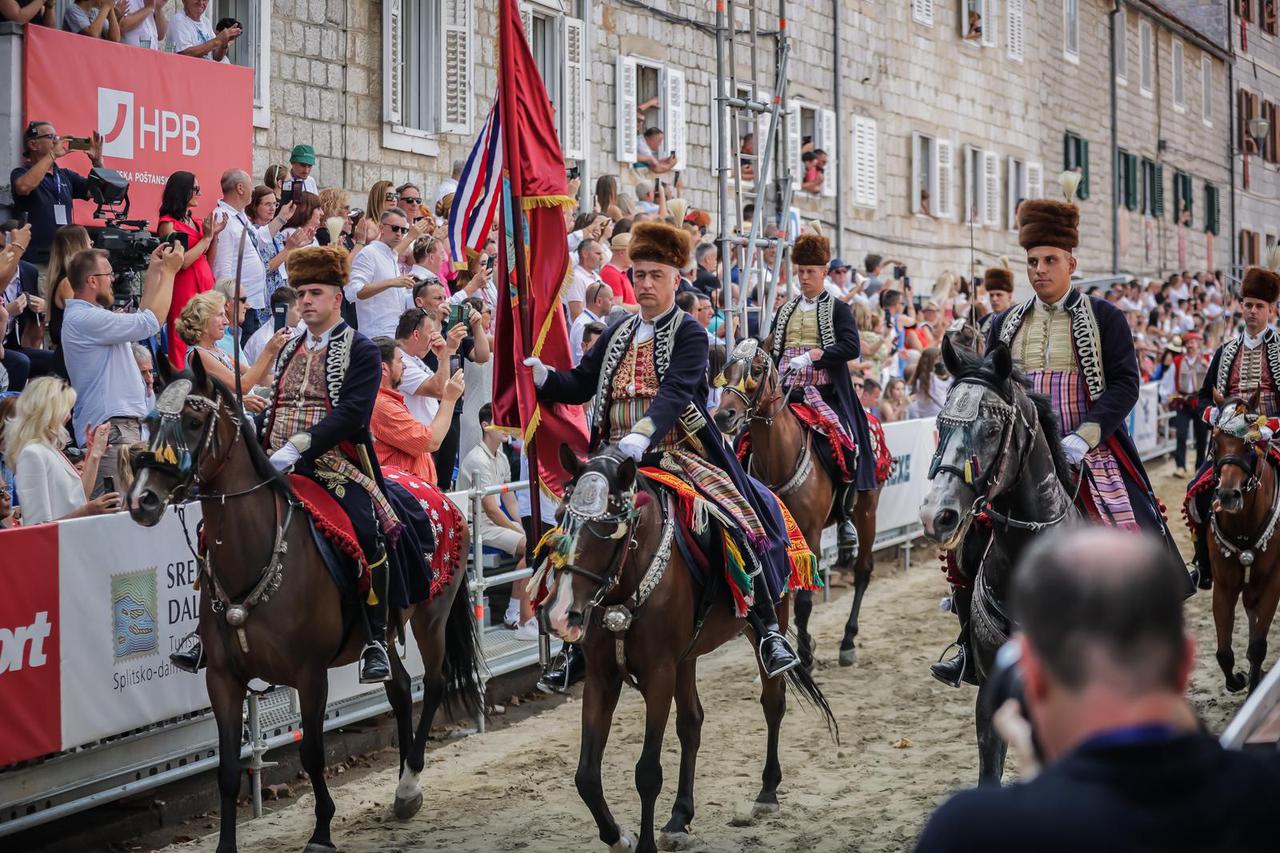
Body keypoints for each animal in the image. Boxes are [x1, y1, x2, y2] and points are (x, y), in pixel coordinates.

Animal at [126, 356, 481, 850]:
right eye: (150, 422)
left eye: (194, 423)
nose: (142, 499)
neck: (258, 551)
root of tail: (440, 495)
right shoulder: (222, 679)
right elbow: (228, 772)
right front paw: (226, 844)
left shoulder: (310, 674)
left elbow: (312, 752)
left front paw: (322, 831)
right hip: (384, 631)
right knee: (398, 687)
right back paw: (401, 788)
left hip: (431, 618)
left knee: (433, 684)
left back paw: (409, 783)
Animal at [542, 440, 834, 850]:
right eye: (558, 517)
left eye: (609, 525)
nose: (558, 614)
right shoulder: (602, 677)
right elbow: (586, 775)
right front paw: (619, 837)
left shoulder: (659, 675)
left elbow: (648, 772)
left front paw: (644, 844)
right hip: (687, 657)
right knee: (692, 722)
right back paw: (680, 817)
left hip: (767, 614)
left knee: (772, 703)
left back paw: (766, 793)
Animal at [711, 338, 880, 666]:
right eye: (727, 369)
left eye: (757, 370)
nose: (724, 416)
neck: (779, 458)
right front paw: (803, 644)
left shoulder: (810, 532)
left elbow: (802, 601)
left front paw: (805, 652)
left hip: (868, 510)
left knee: (863, 571)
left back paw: (848, 641)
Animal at [1203, 389, 1280, 691]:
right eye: (1215, 441)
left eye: (1249, 445)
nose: (1227, 496)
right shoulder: (1224, 585)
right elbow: (1224, 652)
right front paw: (1237, 679)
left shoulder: (1272, 583)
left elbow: (1259, 646)